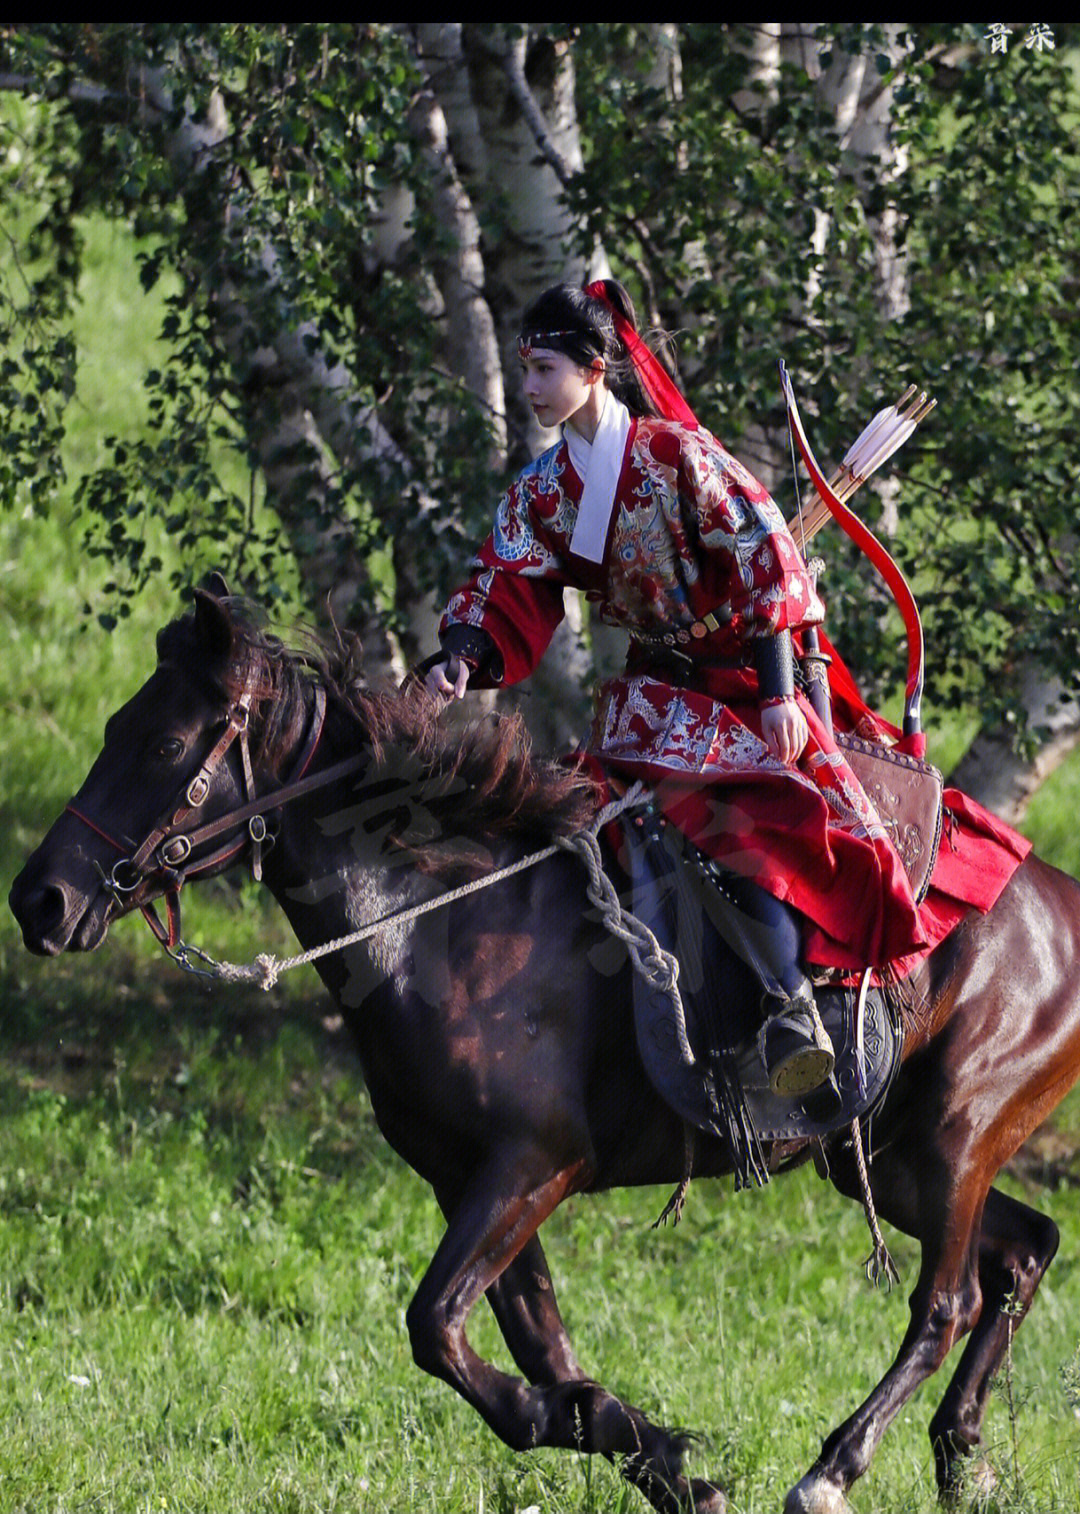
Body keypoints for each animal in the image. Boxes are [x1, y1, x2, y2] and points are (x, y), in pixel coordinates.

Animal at [8, 581, 1078, 1514]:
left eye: (166, 742)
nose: (41, 901)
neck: (441, 921)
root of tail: (1057, 897)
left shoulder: (533, 1167)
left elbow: (438, 1331)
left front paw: (626, 1435)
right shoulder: (470, 1181)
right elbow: (533, 1351)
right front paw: (660, 1457)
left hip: (954, 1137)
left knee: (945, 1302)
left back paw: (834, 1469)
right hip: (883, 1160)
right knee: (1022, 1253)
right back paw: (959, 1457)